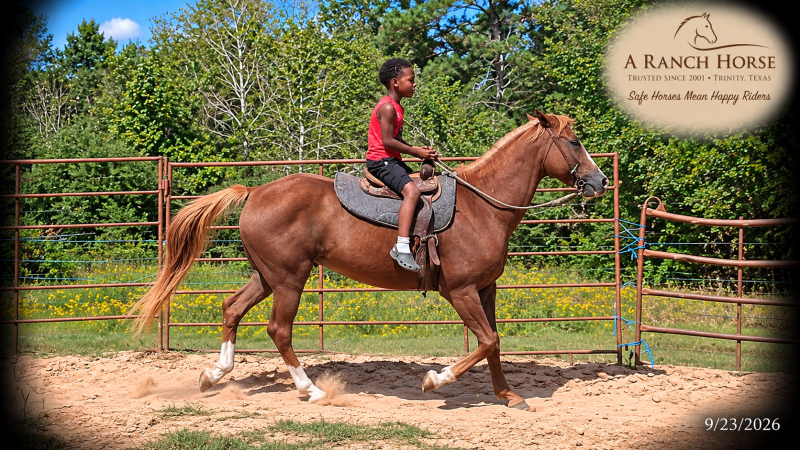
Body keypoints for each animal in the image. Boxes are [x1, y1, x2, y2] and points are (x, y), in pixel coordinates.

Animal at [130, 109, 609, 410]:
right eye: (574, 141)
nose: (600, 181)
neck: (482, 207)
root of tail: (255, 192)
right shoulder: (460, 291)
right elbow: (487, 341)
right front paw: (434, 379)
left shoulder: (485, 289)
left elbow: (494, 343)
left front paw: (508, 396)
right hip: (289, 279)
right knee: (278, 330)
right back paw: (311, 390)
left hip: (267, 275)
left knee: (232, 308)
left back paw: (215, 374)